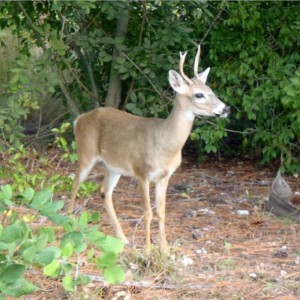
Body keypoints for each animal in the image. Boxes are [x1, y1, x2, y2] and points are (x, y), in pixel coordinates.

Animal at [68, 45, 230, 252]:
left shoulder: (165, 176)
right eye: (198, 94)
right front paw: (147, 250)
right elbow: (147, 212)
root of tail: (79, 119)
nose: (225, 109)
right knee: (75, 182)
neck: (164, 144)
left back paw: (123, 238)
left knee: (105, 192)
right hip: (86, 153)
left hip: (112, 167)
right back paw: (69, 221)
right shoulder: (141, 172)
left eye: (210, 89)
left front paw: (165, 249)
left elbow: (161, 212)